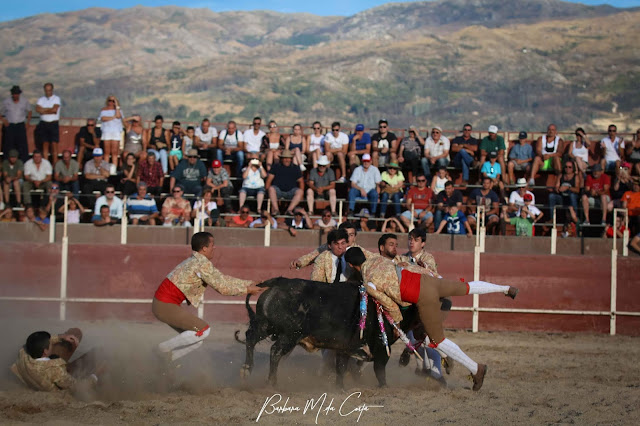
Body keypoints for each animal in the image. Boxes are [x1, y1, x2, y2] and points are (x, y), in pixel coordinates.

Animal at [235, 276, 419, 388]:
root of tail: (278, 282)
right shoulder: (381, 348)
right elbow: (379, 371)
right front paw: (385, 387)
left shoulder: (346, 347)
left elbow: (341, 367)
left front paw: (341, 388)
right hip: (290, 334)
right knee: (275, 351)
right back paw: (271, 382)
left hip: (265, 325)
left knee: (250, 338)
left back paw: (246, 369)